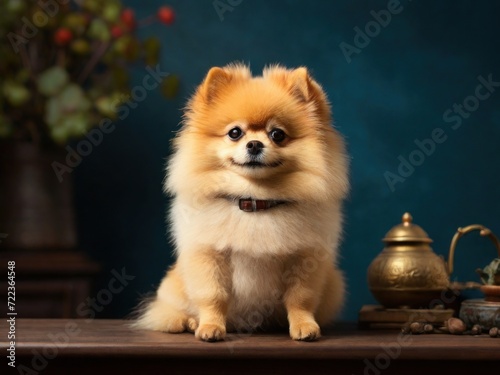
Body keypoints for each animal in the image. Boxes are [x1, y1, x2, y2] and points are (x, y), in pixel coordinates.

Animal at [135, 63, 350, 342]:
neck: (255, 202)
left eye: (277, 134)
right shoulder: (208, 255)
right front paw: (210, 326)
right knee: (169, 311)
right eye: (235, 133)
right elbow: (213, 296)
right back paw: (190, 322)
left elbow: (300, 298)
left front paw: (304, 325)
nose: (255, 144)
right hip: (174, 285)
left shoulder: (304, 258)